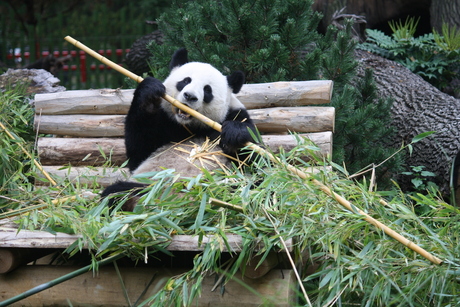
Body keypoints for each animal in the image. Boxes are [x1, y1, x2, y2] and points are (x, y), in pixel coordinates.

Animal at [102, 48, 256, 212]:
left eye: (207, 90)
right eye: (185, 81)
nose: (190, 96)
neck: (190, 126)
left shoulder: (235, 114)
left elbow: (254, 163)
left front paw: (234, 135)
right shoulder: (165, 122)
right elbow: (139, 153)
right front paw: (149, 94)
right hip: (147, 186)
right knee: (116, 193)